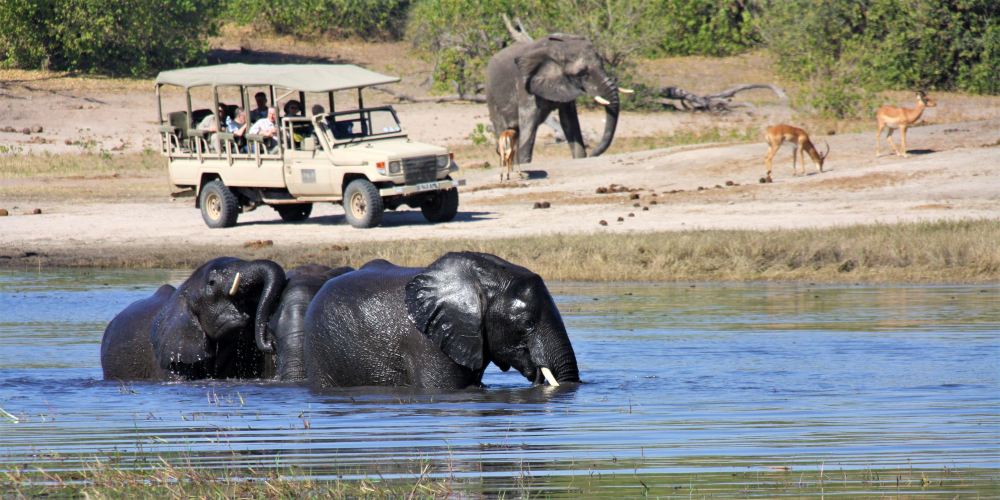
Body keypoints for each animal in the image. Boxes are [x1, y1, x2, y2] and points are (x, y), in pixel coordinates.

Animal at [488, 33, 620, 166]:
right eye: (581, 73)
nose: (592, 154)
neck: (558, 48)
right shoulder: (525, 86)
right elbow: (529, 122)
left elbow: (569, 121)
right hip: (492, 99)